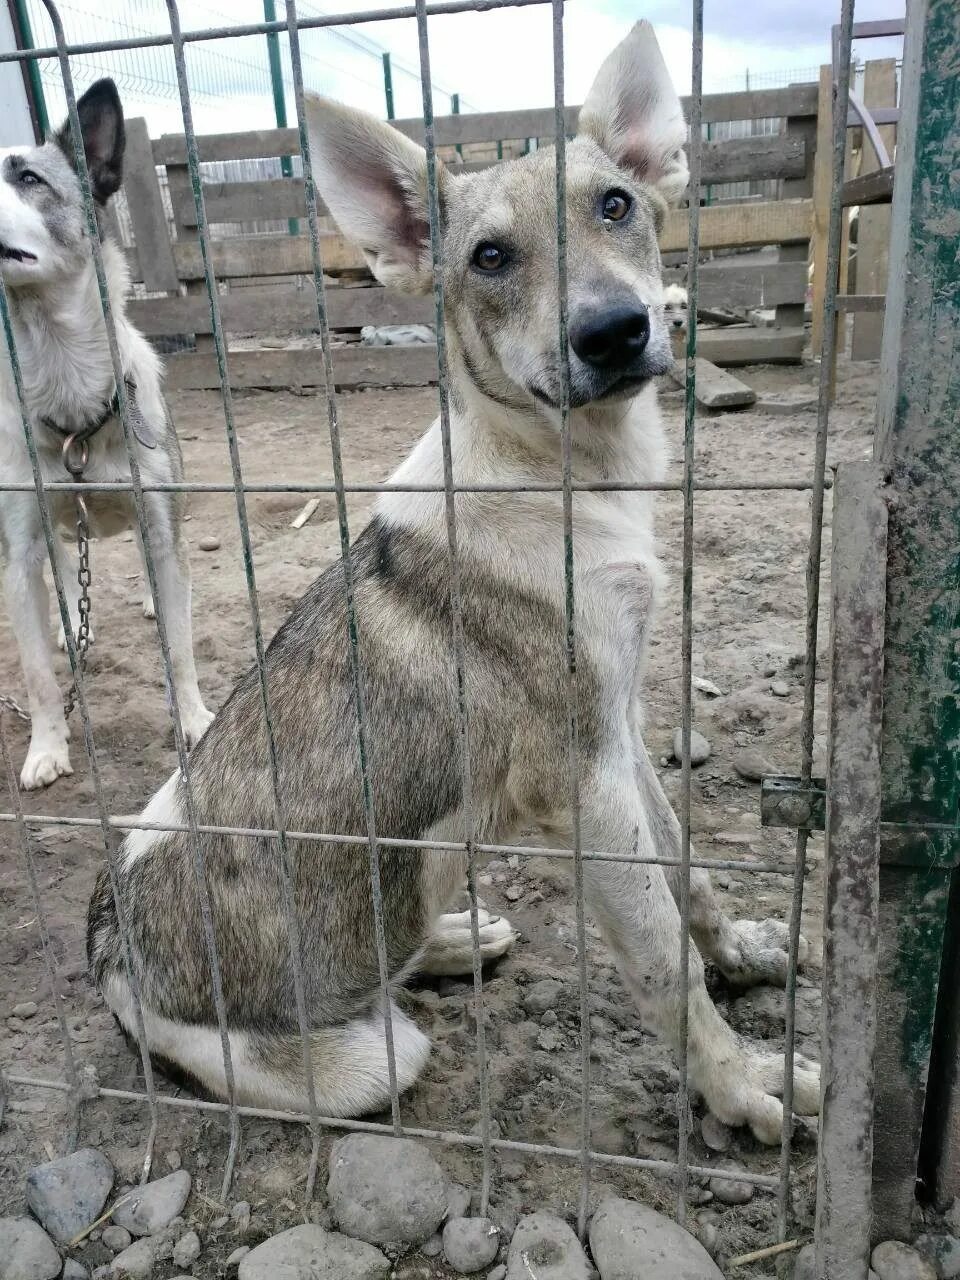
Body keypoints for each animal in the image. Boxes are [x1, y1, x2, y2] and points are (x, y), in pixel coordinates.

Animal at [0, 80, 212, 783]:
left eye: (29, 178)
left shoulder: (161, 523)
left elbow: (179, 647)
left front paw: (194, 721)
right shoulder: (21, 545)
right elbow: (37, 672)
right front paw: (47, 748)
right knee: (66, 567)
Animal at [88, 22, 819, 1141]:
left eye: (616, 206)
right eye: (490, 258)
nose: (614, 330)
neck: (565, 476)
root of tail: (108, 947)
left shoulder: (621, 729)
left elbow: (688, 866)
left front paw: (740, 951)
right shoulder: (582, 781)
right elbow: (663, 961)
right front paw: (740, 1087)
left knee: (397, 929)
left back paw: (452, 939)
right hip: (372, 1056)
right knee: (379, 1008)